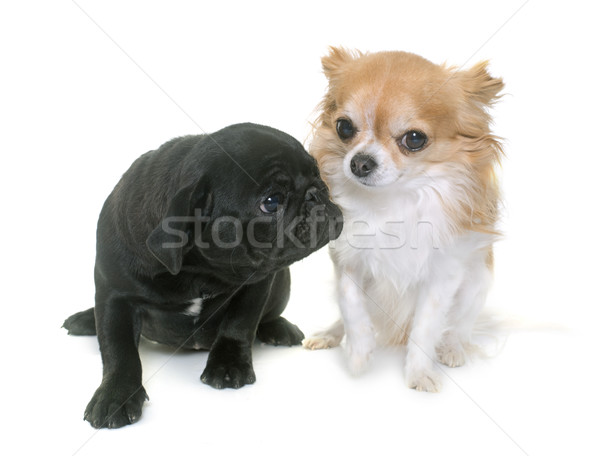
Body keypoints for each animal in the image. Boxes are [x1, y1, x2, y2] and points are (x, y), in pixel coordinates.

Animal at [63, 123, 342, 430]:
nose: (317, 192)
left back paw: (278, 328)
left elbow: (239, 324)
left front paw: (228, 365)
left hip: (283, 284)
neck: (198, 271)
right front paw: (116, 395)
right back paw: (86, 319)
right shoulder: (115, 296)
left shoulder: (257, 283)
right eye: (272, 202)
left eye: (317, 174)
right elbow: (119, 350)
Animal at [302, 49, 504, 392]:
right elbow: (350, 304)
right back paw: (331, 335)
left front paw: (419, 373)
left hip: (478, 281)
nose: (360, 162)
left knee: (459, 326)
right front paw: (358, 353)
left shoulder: (441, 277)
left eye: (414, 139)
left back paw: (452, 348)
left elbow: (426, 327)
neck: (392, 201)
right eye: (344, 128)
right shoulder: (347, 260)